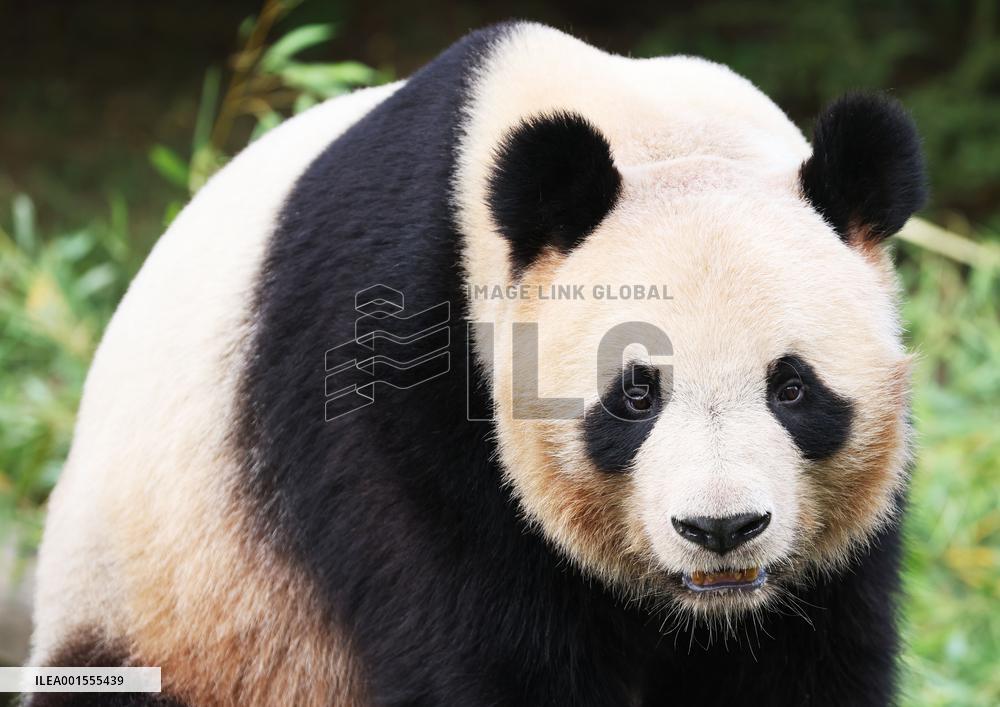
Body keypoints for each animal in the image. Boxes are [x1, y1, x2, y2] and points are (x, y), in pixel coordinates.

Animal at [28, 21, 926, 707]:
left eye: (793, 386)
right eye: (635, 395)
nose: (721, 528)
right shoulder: (390, 381)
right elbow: (486, 651)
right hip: (170, 606)